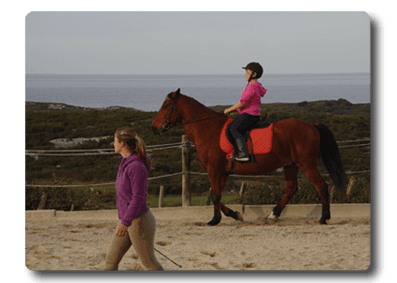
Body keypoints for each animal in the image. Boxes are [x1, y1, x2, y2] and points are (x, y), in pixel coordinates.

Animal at [150, 89, 344, 226]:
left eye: (165, 106)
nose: (153, 128)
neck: (208, 130)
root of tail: (311, 124)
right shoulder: (222, 172)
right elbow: (215, 194)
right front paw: (235, 215)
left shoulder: (214, 170)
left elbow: (215, 195)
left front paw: (214, 220)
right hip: (291, 165)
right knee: (291, 188)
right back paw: (273, 215)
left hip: (306, 164)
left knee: (321, 185)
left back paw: (323, 218)